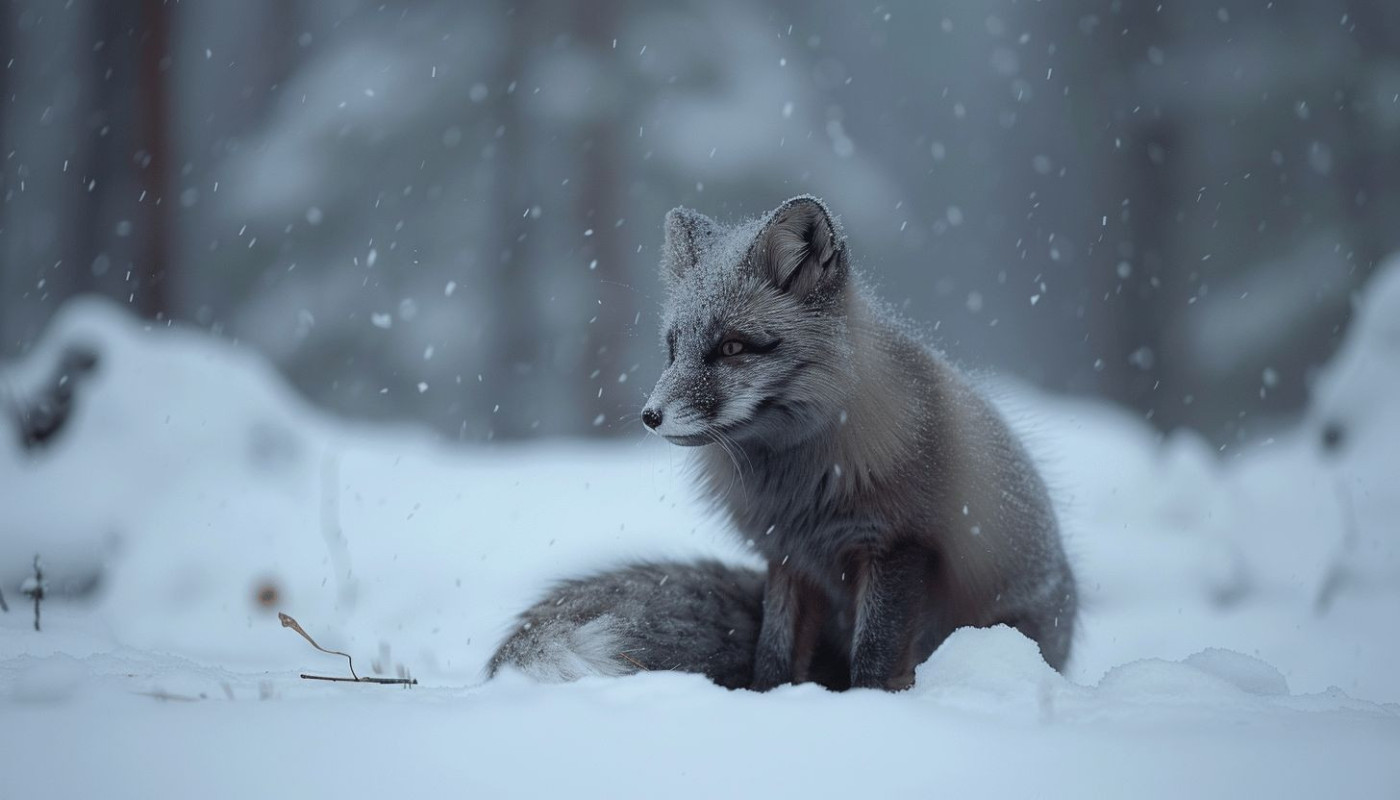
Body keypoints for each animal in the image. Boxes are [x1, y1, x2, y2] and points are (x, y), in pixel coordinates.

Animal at [488, 195, 1077, 691]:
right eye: (673, 349)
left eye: (731, 347)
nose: (650, 416)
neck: (802, 484)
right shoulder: (789, 556)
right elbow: (772, 656)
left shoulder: (897, 546)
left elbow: (874, 659)